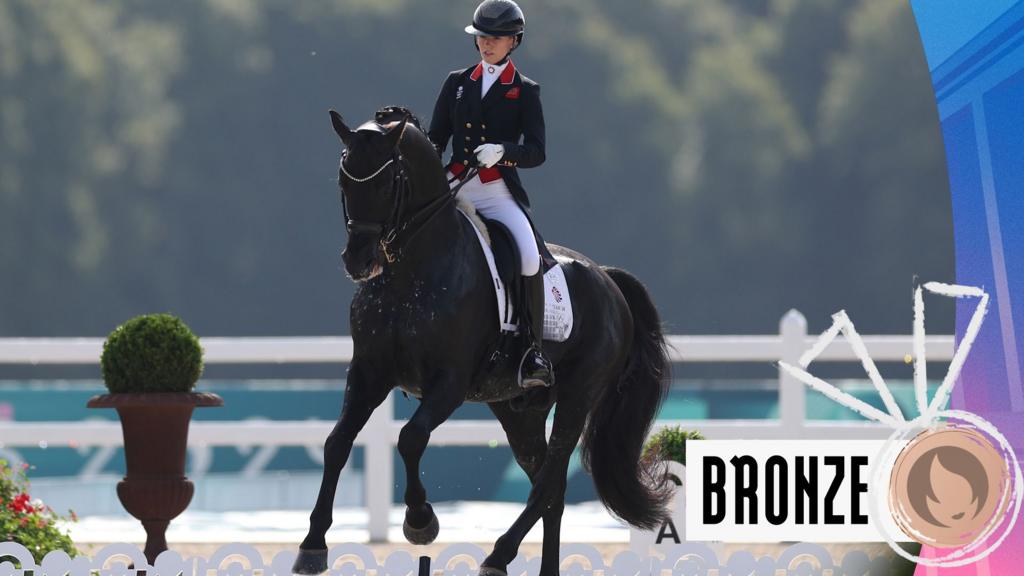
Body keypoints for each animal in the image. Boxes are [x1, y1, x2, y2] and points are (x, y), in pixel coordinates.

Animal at [292, 107, 671, 573]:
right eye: (344, 182)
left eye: (385, 184)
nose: (359, 261)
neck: (410, 272)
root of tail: (608, 280)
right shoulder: (369, 372)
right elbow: (336, 444)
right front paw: (312, 545)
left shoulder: (450, 382)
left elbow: (410, 438)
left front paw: (421, 521)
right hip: (517, 409)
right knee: (550, 487)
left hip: (578, 396)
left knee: (548, 483)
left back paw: (497, 554)